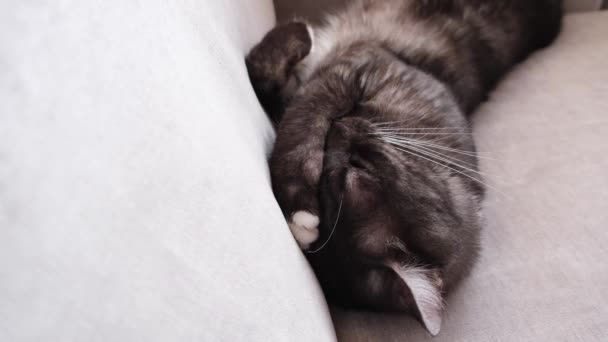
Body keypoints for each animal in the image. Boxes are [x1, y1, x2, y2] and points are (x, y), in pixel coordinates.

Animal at [245, 0, 564, 336]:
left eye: (348, 174)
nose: (342, 127)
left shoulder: (353, 68)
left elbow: (301, 113)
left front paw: (299, 212)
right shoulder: (359, 68)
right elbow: (285, 94)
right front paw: (298, 37)